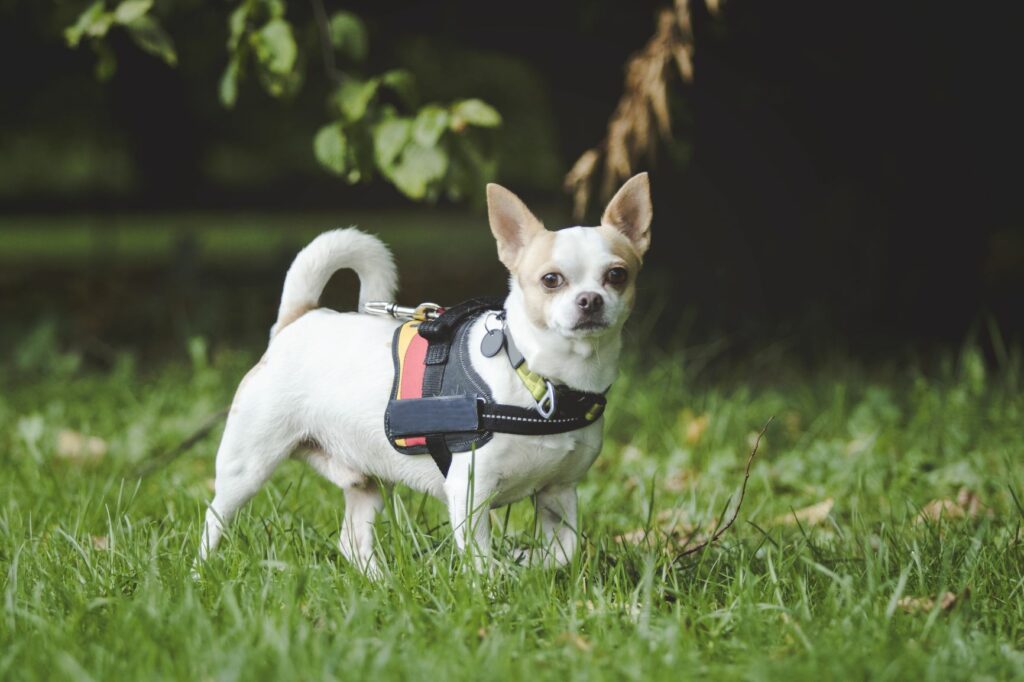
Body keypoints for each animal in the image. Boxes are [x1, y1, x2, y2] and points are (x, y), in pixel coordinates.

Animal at [195, 173, 651, 569]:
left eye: (617, 275)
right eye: (551, 280)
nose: (590, 300)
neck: (539, 379)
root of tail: (300, 318)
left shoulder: (559, 494)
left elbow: (563, 552)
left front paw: (525, 563)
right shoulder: (470, 494)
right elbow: (481, 560)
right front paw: (493, 589)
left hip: (368, 480)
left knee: (353, 540)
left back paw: (379, 583)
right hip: (247, 466)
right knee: (215, 519)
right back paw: (202, 573)